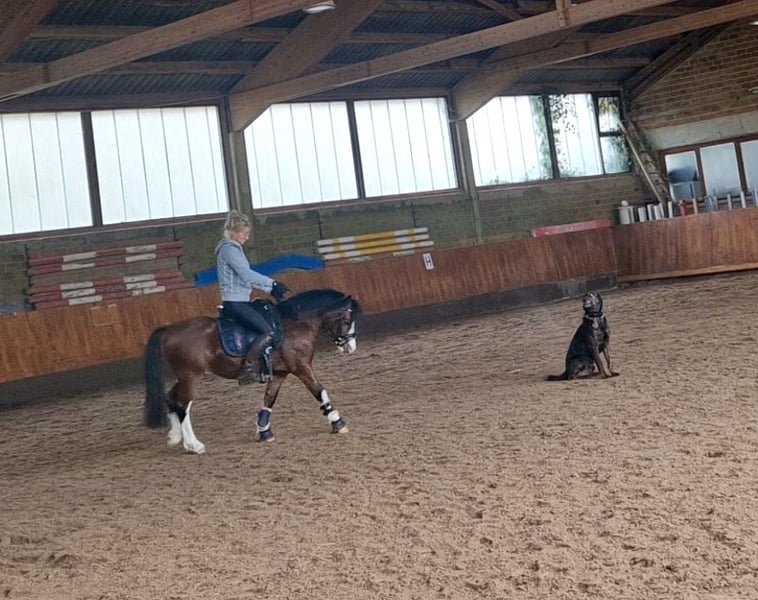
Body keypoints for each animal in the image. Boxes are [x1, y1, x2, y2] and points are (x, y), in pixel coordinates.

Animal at [143, 288, 361, 453]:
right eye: (347, 320)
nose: (350, 347)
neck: (296, 325)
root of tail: (169, 329)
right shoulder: (301, 367)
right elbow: (320, 391)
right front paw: (337, 422)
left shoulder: (280, 373)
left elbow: (269, 400)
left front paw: (264, 431)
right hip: (191, 376)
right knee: (182, 404)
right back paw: (193, 445)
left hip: (184, 376)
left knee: (170, 398)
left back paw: (174, 437)